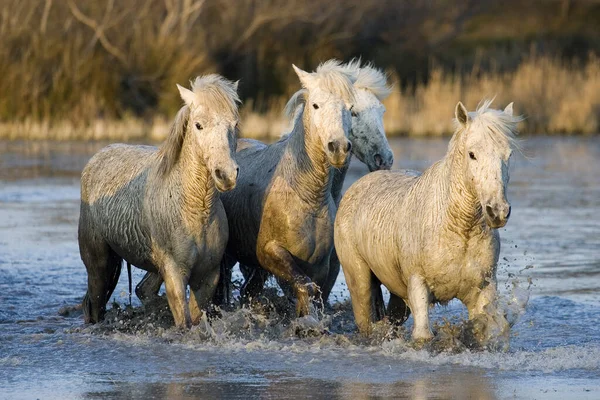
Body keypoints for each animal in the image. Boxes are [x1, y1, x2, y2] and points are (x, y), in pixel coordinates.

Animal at [336, 101, 516, 350]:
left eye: (509, 154)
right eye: (472, 154)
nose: (497, 211)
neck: (459, 229)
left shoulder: (483, 290)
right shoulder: (418, 285)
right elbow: (422, 337)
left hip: (398, 295)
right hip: (359, 281)